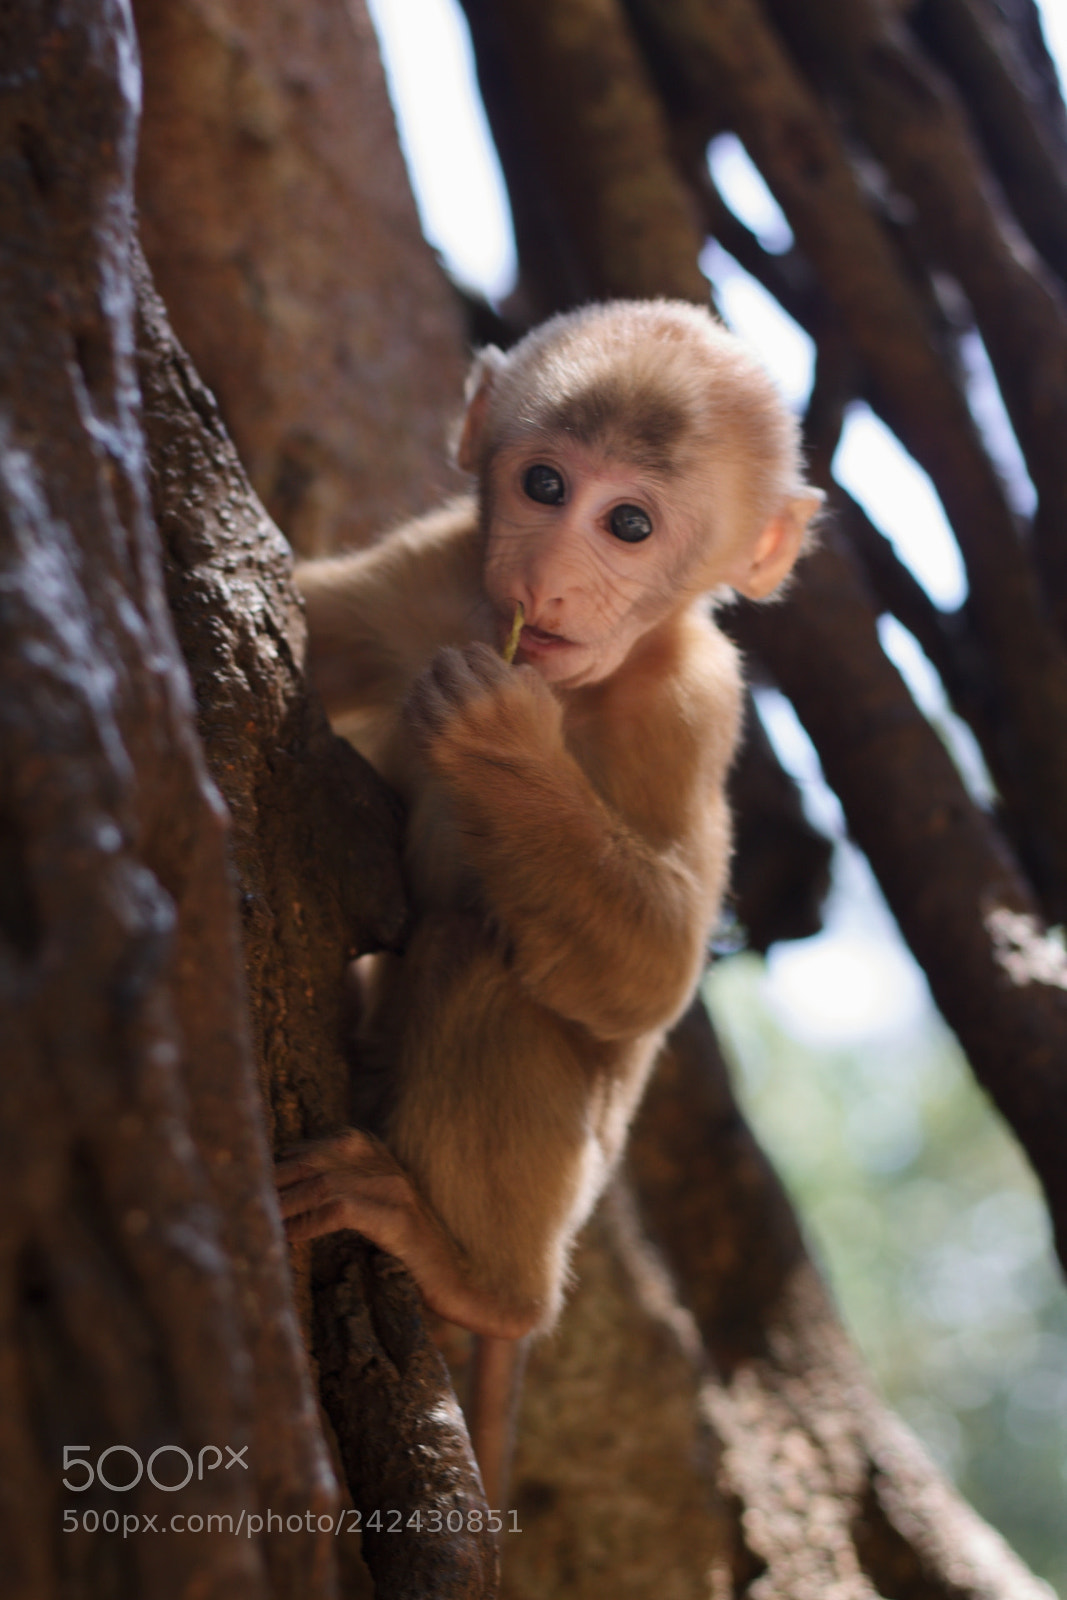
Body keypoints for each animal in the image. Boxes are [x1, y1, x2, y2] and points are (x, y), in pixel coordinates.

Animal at [276, 299, 821, 1504]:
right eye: (541, 486)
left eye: (627, 523)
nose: (552, 577)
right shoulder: (433, 571)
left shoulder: (688, 707)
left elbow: (654, 977)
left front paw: (498, 748)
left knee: (475, 959)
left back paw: (478, 1281)